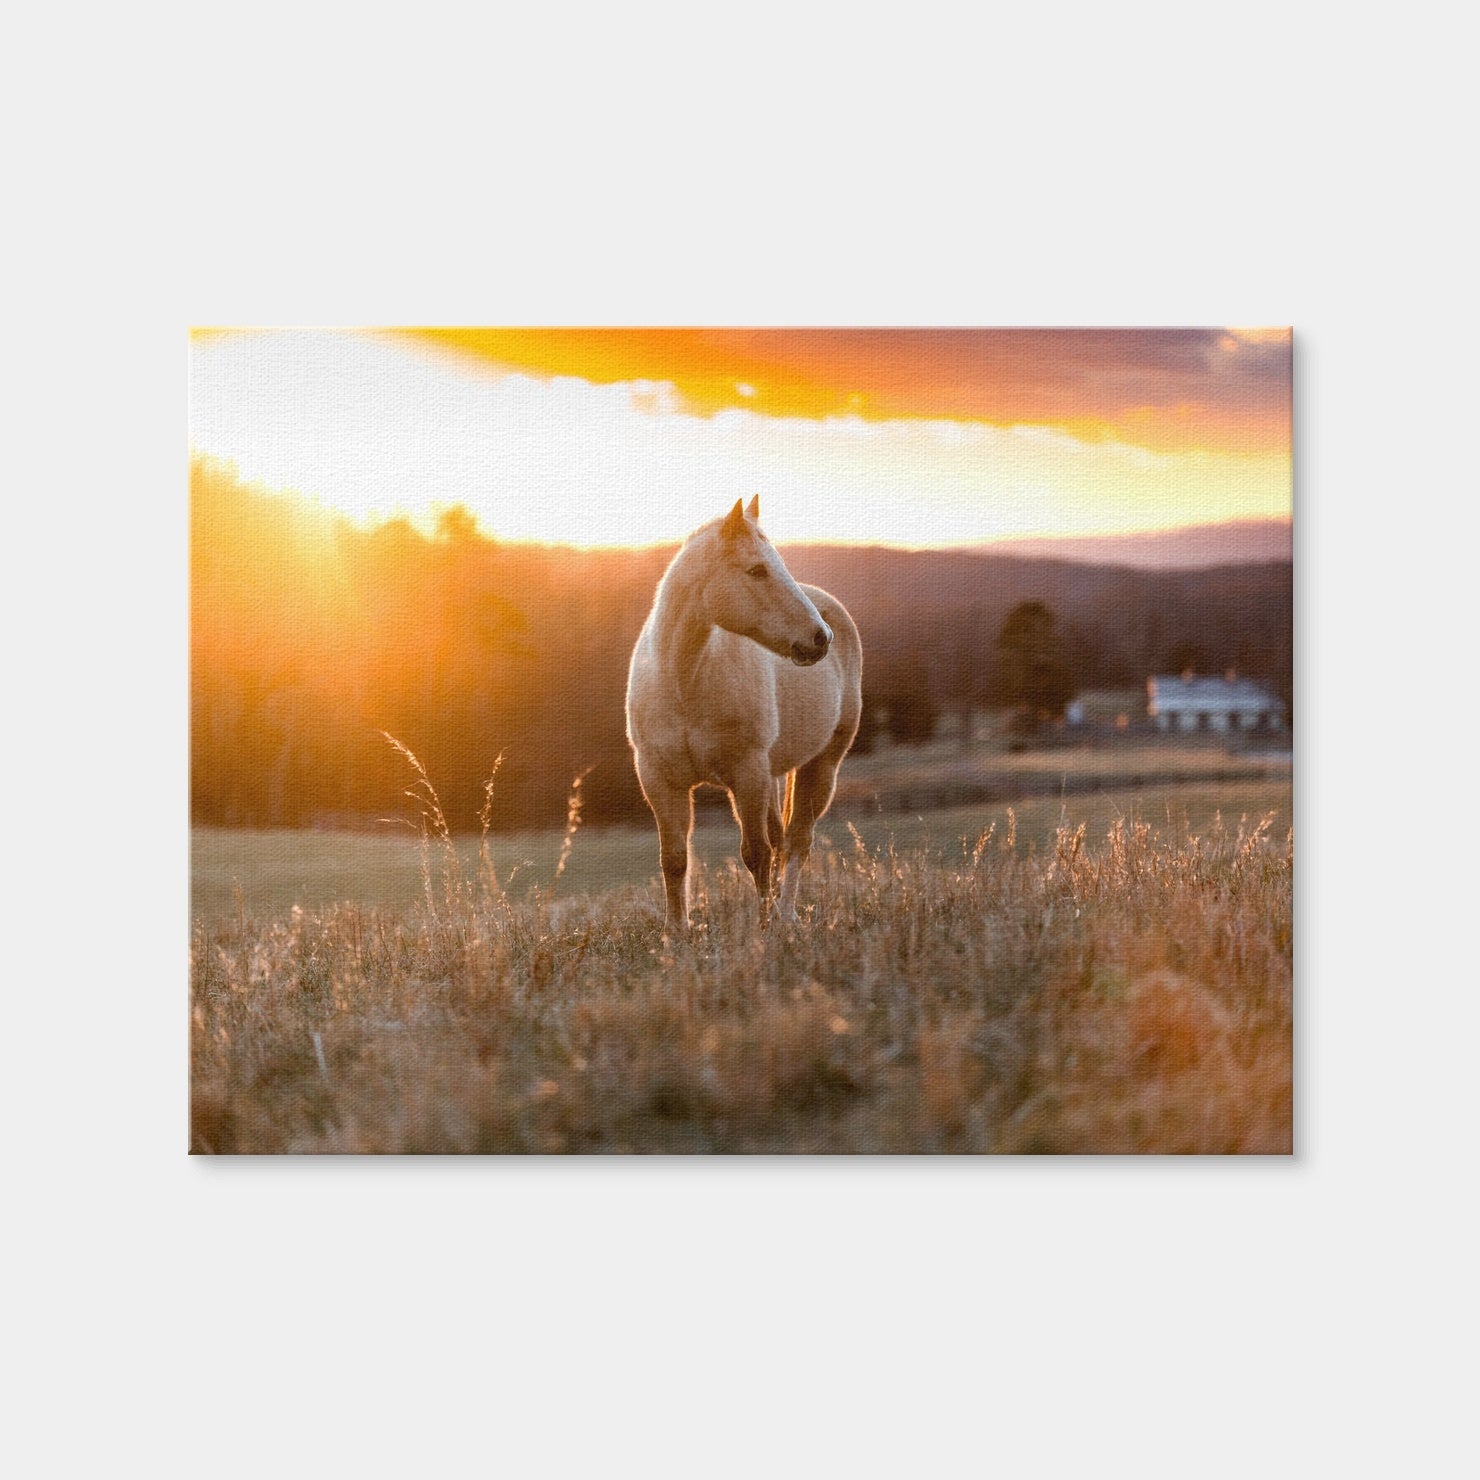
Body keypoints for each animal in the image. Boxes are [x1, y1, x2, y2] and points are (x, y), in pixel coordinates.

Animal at [626, 495, 863, 934]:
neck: (685, 681)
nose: (820, 638)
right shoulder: (659, 780)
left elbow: (756, 853)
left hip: (821, 766)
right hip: (773, 774)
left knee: (797, 841)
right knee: (783, 837)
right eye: (756, 570)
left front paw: (763, 928)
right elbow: (674, 859)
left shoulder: (746, 774)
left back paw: (785, 916)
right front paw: (675, 934)